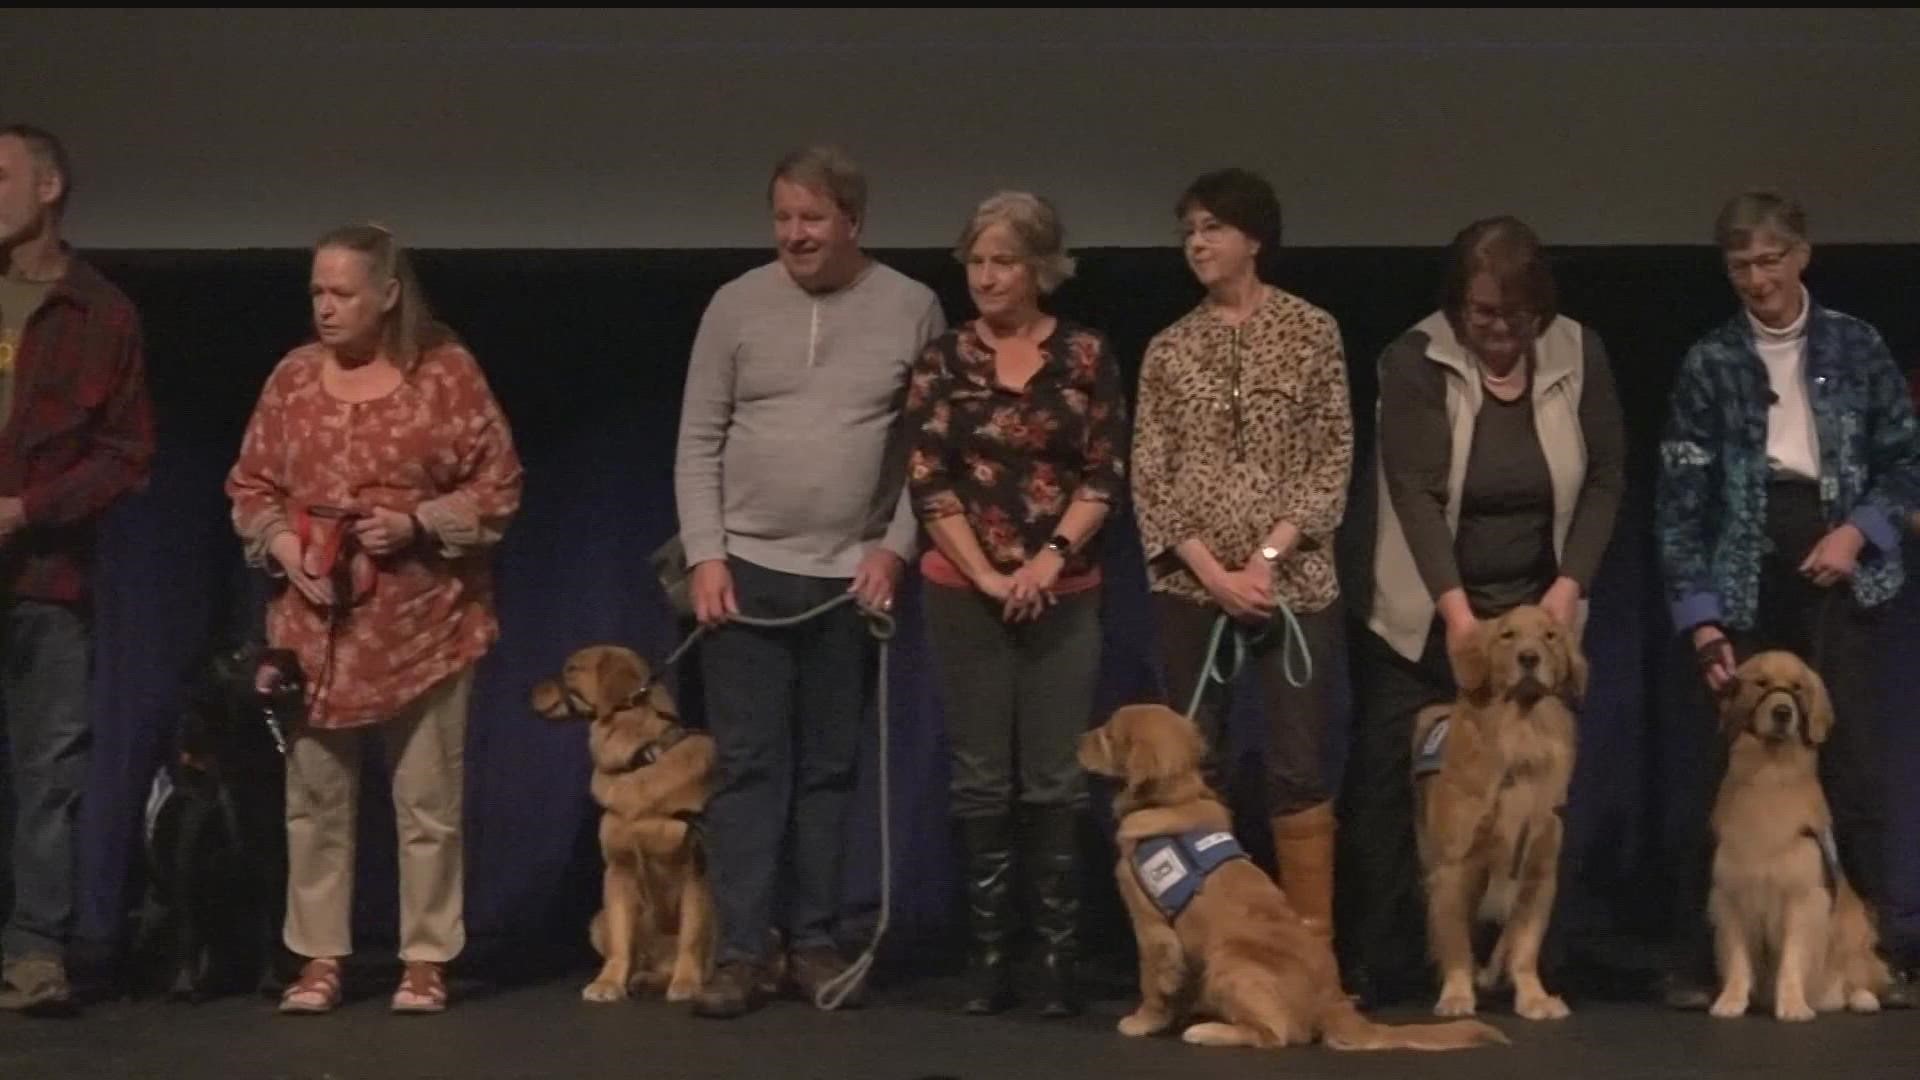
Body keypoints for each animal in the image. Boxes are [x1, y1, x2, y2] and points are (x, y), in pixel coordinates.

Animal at [137, 638, 301, 999]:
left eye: (266, 643)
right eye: (239, 656)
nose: (290, 654)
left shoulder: (269, 863)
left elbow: (269, 929)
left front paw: (270, 981)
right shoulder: (187, 867)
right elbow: (189, 934)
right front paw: (184, 987)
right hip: (154, 913)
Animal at [529, 638, 718, 999]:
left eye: (572, 669)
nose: (531, 691)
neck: (640, 758)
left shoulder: (695, 870)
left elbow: (692, 935)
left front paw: (687, 982)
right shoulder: (618, 870)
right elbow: (620, 941)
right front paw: (608, 982)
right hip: (596, 921)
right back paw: (640, 978)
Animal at [1082, 703, 1497, 1045]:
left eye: (1107, 734)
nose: (1077, 740)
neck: (1171, 800)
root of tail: (1334, 1002)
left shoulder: (1151, 927)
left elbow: (1152, 981)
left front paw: (1143, 1021)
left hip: (1230, 959)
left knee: (1275, 1034)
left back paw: (1210, 1030)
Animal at [1420, 607, 1582, 1014]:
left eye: (1550, 635)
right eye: (1507, 635)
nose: (1529, 658)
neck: (1520, 736)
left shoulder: (1539, 869)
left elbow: (1523, 943)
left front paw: (1535, 998)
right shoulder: (1453, 867)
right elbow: (1455, 939)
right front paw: (1457, 995)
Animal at [1712, 645, 1889, 1014]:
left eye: (1797, 688)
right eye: (1761, 683)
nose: (1782, 712)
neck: (1770, 773)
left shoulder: (1804, 897)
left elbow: (1793, 959)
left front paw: (1793, 1005)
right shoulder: (1730, 894)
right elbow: (1737, 959)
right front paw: (1731, 1000)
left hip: (1855, 927)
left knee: (1861, 973)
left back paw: (1861, 998)